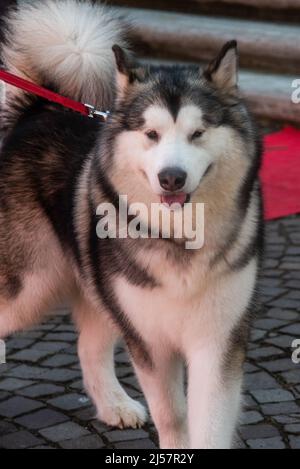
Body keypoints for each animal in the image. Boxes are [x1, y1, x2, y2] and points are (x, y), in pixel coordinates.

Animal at [0, 0, 262, 448]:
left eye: (198, 133)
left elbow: (209, 419)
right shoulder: (149, 341)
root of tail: (36, 111)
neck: (179, 239)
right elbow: (172, 415)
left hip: (100, 289)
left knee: (88, 346)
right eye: (151, 133)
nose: (171, 177)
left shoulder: (218, 340)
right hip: (29, 287)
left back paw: (114, 406)